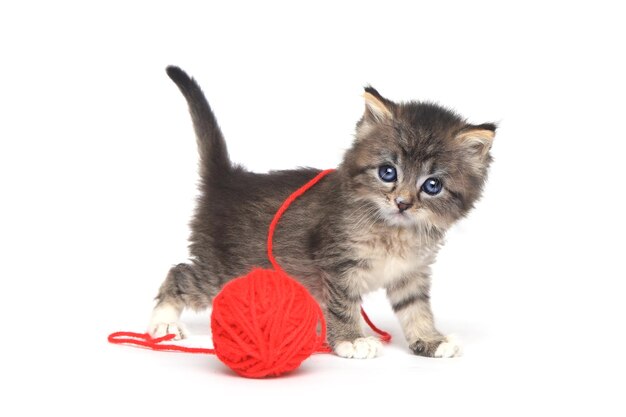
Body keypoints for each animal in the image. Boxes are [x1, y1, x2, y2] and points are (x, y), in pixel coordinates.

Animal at [149, 66, 494, 360]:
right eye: (387, 172)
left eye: (432, 185)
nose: (402, 203)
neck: (395, 231)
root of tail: (228, 179)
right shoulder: (337, 264)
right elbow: (343, 305)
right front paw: (352, 339)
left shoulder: (411, 273)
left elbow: (416, 308)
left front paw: (430, 340)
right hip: (224, 268)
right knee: (179, 273)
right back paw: (164, 322)